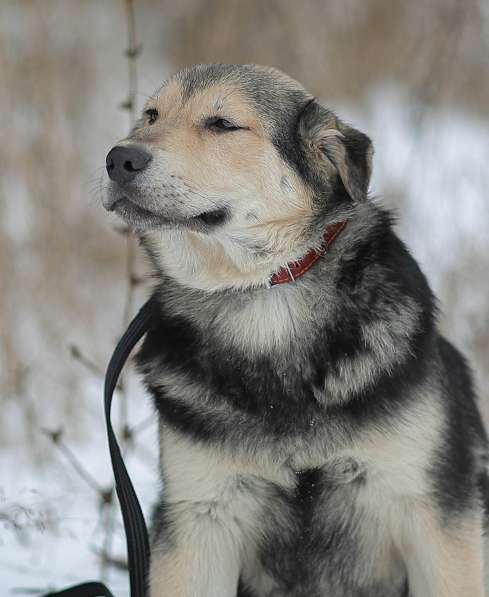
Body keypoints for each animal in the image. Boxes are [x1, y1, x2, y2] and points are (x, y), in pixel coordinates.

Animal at [104, 62, 488, 592]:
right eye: (150, 116)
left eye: (221, 124)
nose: (118, 158)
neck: (265, 295)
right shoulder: (202, 514)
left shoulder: (433, 510)